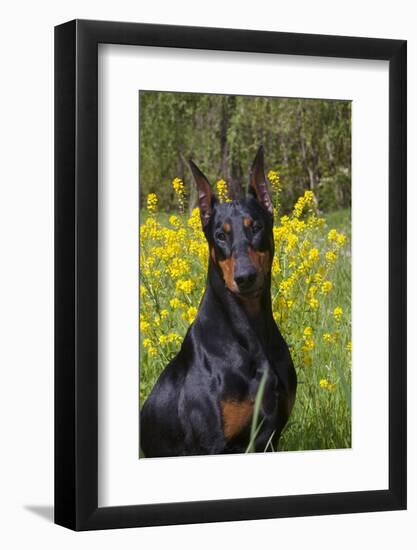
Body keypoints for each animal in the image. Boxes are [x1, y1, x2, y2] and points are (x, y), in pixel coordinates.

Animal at [141, 146, 298, 458]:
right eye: (220, 235)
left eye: (256, 227)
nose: (245, 277)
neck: (250, 329)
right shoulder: (213, 445)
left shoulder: (272, 437)